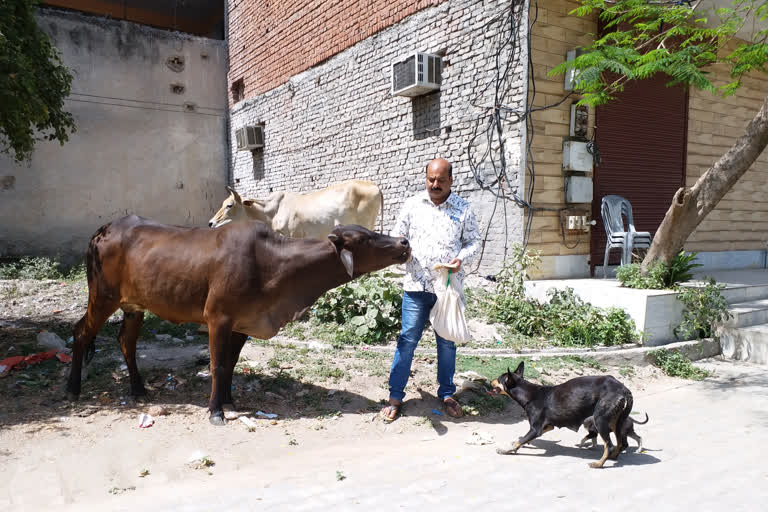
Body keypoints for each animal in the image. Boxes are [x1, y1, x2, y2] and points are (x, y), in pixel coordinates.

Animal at [67, 215, 408, 424]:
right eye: (363, 239)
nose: (403, 242)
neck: (274, 265)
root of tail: (104, 229)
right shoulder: (217, 317)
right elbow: (217, 365)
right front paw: (215, 410)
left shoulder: (244, 323)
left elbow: (230, 364)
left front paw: (229, 401)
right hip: (103, 297)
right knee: (80, 332)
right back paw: (73, 389)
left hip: (134, 305)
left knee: (126, 341)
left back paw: (138, 389)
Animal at [492, 360, 636, 468]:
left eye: (499, 379)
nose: (490, 381)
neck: (529, 394)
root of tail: (623, 389)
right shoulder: (547, 426)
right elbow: (522, 440)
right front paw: (520, 445)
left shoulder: (535, 429)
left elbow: (520, 441)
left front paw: (506, 450)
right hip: (616, 421)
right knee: (621, 443)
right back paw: (613, 457)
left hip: (600, 420)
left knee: (609, 445)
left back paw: (599, 464)